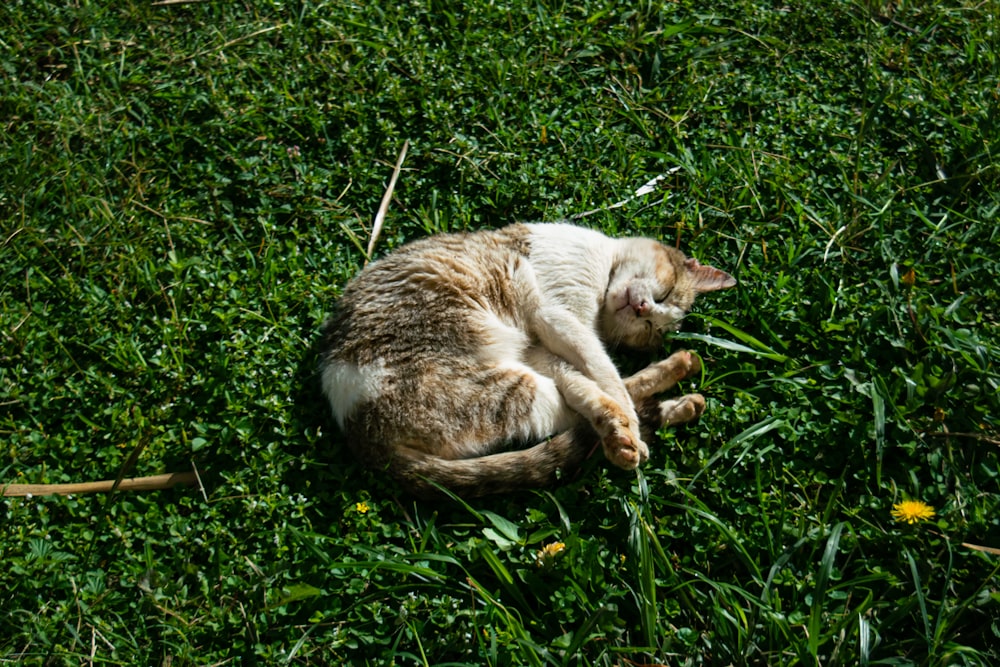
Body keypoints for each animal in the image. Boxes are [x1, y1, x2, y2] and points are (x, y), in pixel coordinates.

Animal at [320, 222, 736, 498]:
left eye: (650, 326)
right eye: (663, 296)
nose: (642, 308)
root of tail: (359, 434)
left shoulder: (541, 344)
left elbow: (589, 375)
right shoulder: (556, 317)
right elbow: (604, 371)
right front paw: (627, 421)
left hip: (513, 381)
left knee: (579, 405)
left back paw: (678, 390)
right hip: (508, 389)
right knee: (581, 410)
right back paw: (649, 411)